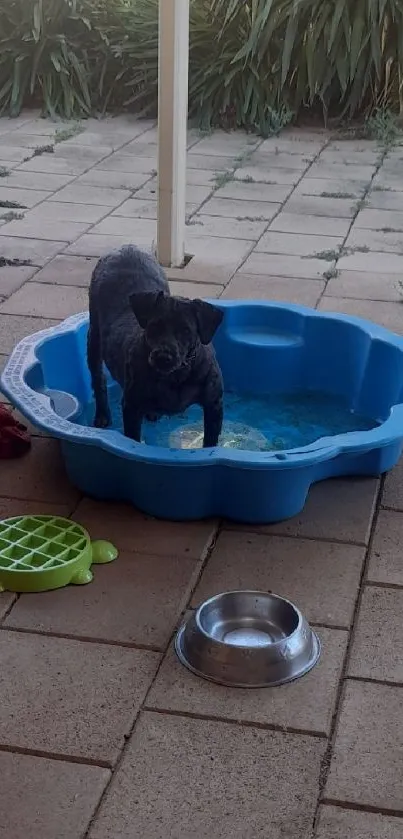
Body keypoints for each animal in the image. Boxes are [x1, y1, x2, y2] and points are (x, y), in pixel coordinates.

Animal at [87, 244, 224, 446]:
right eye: (154, 326)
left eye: (186, 330)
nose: (163, 357)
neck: (176, 376)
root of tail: (127, 247)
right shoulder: (131, 407)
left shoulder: (214, 405)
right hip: (94, 337)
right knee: (98, 379)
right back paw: (102, 415)